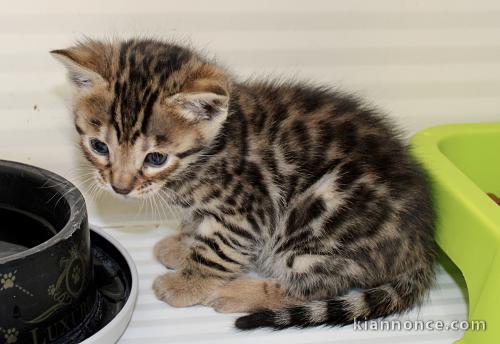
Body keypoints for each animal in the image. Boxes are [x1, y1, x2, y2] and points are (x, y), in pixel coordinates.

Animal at [52, 39, 438, 330]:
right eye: (99, 147)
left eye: (156, 158)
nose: (120, 187)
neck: (211, 150)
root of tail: (419, 246)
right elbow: (196, 225)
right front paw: (182, 245)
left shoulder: (247, 211)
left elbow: (216, 251)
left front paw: (189, 282)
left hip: (315, 224)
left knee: (318, 287)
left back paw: (240, 294)